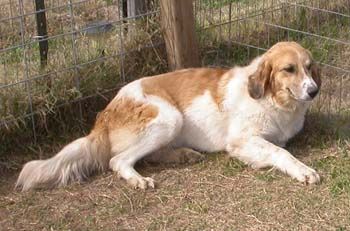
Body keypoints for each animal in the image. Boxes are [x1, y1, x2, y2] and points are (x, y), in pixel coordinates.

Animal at [17, 42, 322, 191]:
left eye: (309, 67)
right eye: (289, 69)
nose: (314, 91)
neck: (275, 101)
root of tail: (104, 116)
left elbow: (278, 147)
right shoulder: (241, 141)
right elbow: (281, 153)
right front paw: (304, 171)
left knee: (147, 155)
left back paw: (183, 155)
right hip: (168, 118)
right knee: (118, 160)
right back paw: (138, 179)